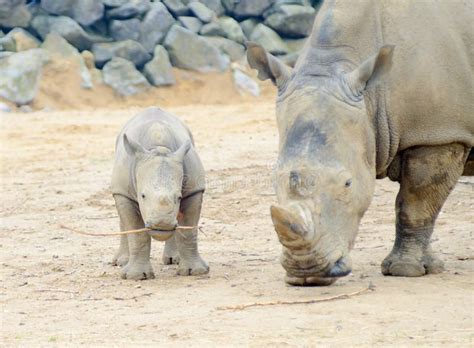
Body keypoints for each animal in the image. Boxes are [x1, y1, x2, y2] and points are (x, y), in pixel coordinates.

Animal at [112, 106, 208, 280]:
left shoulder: (194, 190)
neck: (159, 148)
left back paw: (173, 260)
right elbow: (137, 233)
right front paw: (136, 276)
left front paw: (195, 271)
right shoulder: (123, 189)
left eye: (179, 197)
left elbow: (189, 229)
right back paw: (121, 262)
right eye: (142, 196)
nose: (162, 225)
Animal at [246, 0, 472, 286]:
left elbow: (416, 203)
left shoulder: (439, 135)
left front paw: (405, 270)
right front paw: (430, 265)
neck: (371, 98)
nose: (307, 273)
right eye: (274, 181)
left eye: (348, 183)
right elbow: (422, 201)